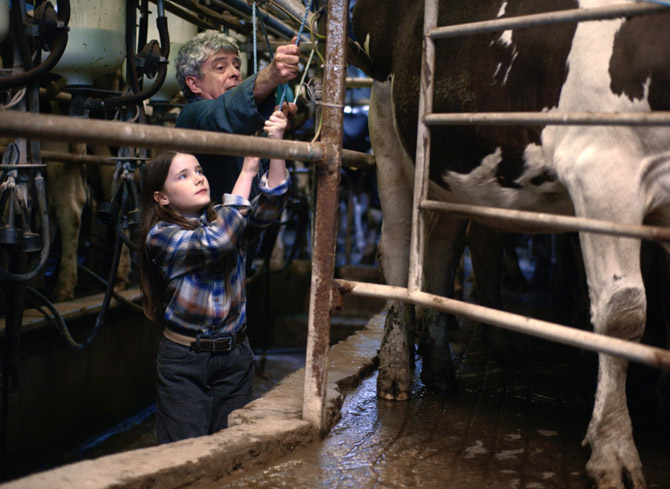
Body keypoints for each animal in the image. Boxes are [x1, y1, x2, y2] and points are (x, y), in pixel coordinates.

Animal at [352, 0, 670, 488]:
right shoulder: (604, 173)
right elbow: (623, 315)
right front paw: (614, 451)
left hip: (449, 167)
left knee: (443, 250)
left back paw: (440, 366)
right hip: (387, 120)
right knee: (400, 246)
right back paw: (395, 372)